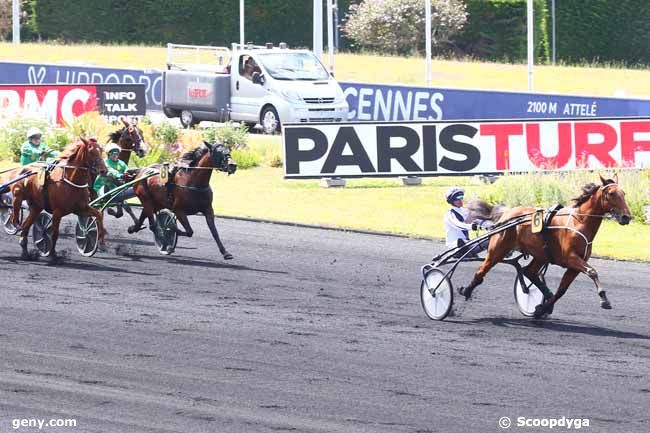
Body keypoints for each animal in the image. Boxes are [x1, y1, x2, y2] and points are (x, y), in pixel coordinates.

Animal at [458, 174, 632, 318]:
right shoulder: (570, 258)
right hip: (498, 250)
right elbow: (592, 271)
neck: (579, 222)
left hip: (540, 254)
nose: (626, 217)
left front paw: (542, 308)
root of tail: (506, 214)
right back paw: (466, 290)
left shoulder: (574, 266)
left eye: (623, 193)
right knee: (482, 270)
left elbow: (562, 290)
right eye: (611, 193)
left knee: (529, 272)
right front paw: (604, 298)